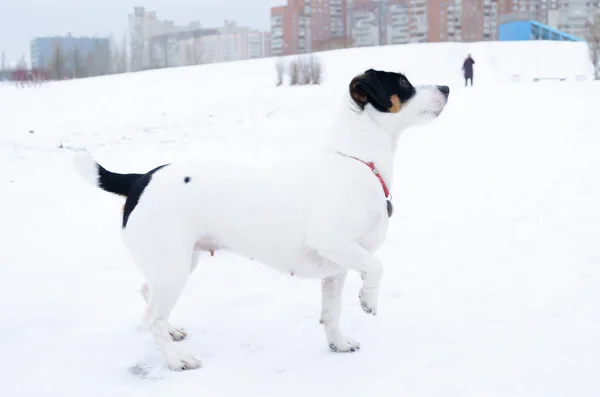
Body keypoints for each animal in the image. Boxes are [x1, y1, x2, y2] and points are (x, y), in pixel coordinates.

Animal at [72, 67, 448, 368]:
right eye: (403, 83)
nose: (446, 87)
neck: (355, 160)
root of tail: (140, 179)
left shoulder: (335, 268)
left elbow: (331, 313)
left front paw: (338, 344)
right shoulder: (335, 244)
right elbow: (376, 267)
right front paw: (368, 299)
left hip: (178, 264)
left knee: (147, 294)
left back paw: (173, 330)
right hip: (172, 268)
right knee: (152, 315)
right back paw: (176, 361)